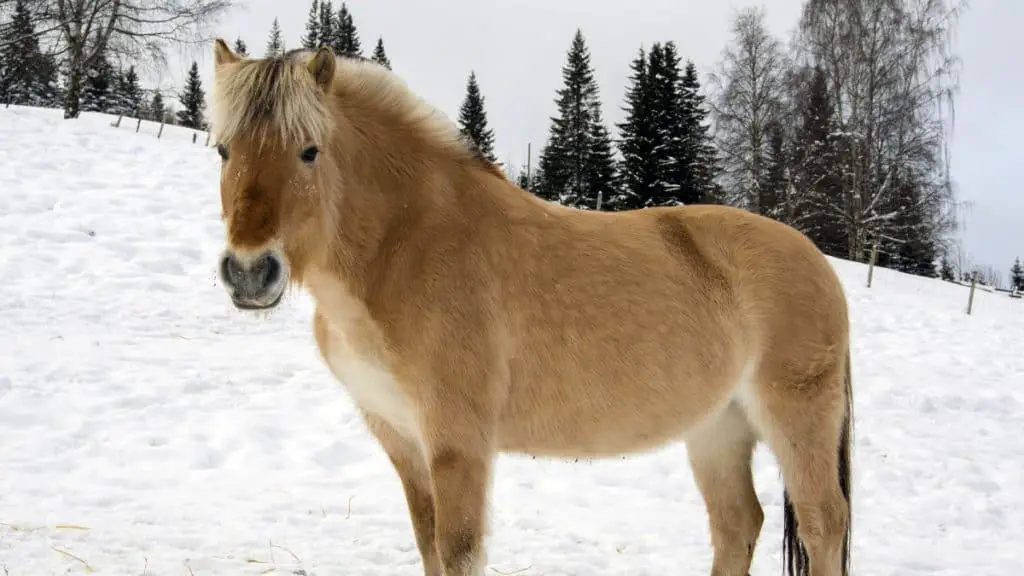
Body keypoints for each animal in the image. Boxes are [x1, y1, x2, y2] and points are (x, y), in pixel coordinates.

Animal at [205, 40, 847, 573]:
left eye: (309, 151)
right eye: (223, 149)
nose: (249, 272)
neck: (408, 246)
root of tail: (817, 261)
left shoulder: (458, 442)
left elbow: (458, 551)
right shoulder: (401, 438)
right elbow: (427, 543)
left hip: (796, 420)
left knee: (823, 524)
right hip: (717, 427)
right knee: (737, 525)